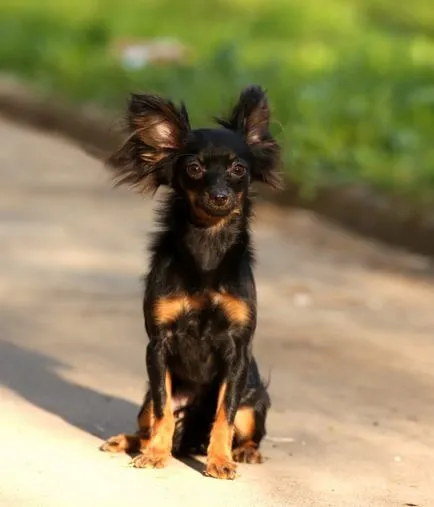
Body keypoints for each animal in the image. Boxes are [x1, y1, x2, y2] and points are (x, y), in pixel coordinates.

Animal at [99, 84, 282, 480]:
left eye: (238, 169)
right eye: (194, 168)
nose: (220, 196)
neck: (207, 245)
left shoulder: (237, 351)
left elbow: (224, 415)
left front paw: (220, 460)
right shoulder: (158, 347)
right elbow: (164, 411)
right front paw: (156, 454)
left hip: (254, 400)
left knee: (245, 428)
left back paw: (244, 452)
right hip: (145, 401)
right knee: (151, 422)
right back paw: (132, 442)